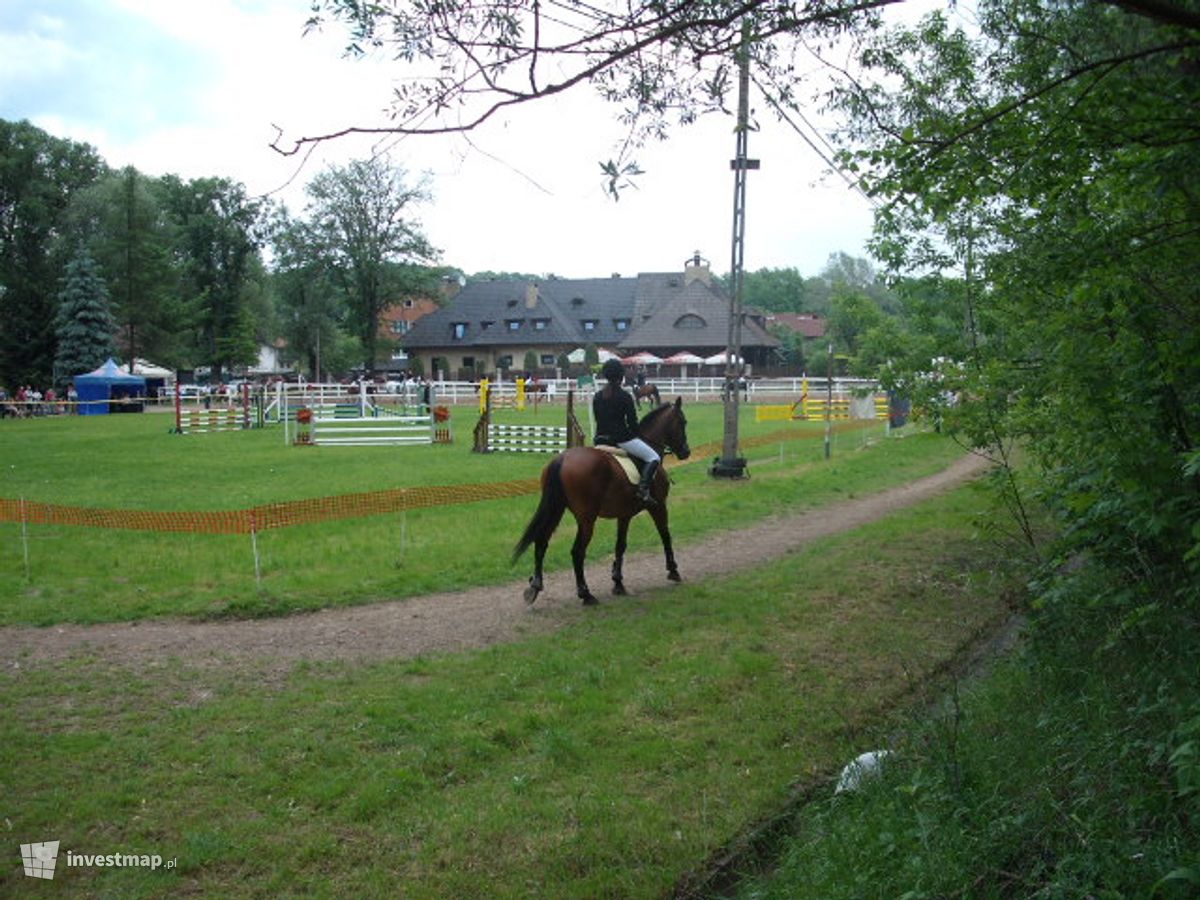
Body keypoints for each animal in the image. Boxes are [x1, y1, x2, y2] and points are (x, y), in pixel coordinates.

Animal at [511, 400, 691, 607]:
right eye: (682, 422)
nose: (686, 452)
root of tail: (562, 458)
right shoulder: (659, 506)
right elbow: (666, 535)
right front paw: (673, 570)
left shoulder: (624, 515)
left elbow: (620, 545)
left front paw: (618, 583)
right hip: (587, 519)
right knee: (577, 552)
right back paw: (585, 594)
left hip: (556, 509)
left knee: (541, 541)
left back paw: (535, 587)